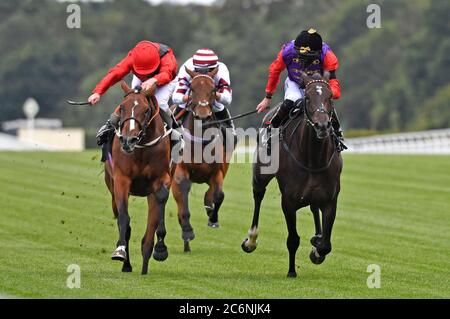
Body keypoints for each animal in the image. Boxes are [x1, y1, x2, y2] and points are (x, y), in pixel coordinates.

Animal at [103, 81, 172, 276]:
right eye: (122, 108)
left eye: (146, 110)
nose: (128, 140)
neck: (141, 149)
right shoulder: (121, 181)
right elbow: (124, 219)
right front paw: (120, 251)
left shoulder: (161, 180)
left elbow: (155, 219)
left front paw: (158, 251)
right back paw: (127, 264)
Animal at [171, 67, 236, 252]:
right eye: (191, 89)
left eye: (213, 89)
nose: (202, 114)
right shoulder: (180, 172)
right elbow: (183, 203)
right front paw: (187, 232)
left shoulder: (217, 172)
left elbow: (219, 195)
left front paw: (212, 217)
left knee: (210, 194)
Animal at [243, 72, 342, 278]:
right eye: (308, 98)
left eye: (330, 97)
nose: (322, 126)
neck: (313, 159)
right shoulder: (288, 201)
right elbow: (293, 239)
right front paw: (291, 271)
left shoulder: (330, 200)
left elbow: (326, 244)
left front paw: (316, 248)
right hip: (260, 175)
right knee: (258, 195)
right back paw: (251, 240)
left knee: (314, 208)